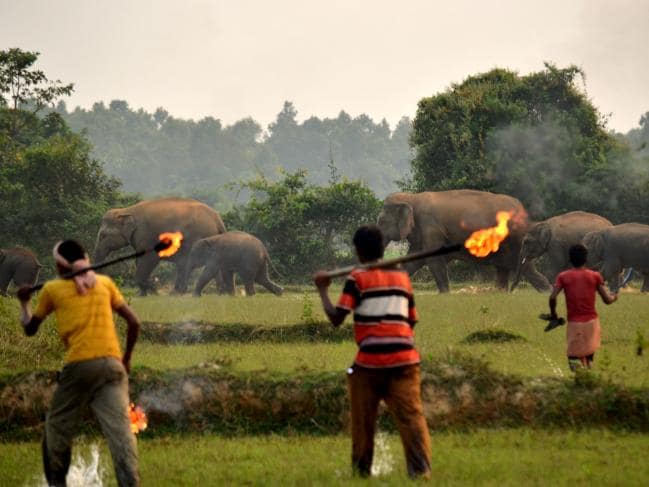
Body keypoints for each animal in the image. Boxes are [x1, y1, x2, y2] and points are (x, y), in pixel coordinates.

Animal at [92, 197, 227, 296]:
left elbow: (148, 259)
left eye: (103, 236)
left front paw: (152, 291)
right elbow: (139, 260)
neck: (126, 210)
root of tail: (217, 219)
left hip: (198, 238)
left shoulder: (146, 234)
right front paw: (142, 294)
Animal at [378, 190, 548, 294]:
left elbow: (434, 260)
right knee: (505, 269)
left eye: (381, 222)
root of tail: (523, 210)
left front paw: (445, 294)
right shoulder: (422, 235)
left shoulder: (430, 228)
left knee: (527, 269)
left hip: (516, 242)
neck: (412, 197)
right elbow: (413, 261)